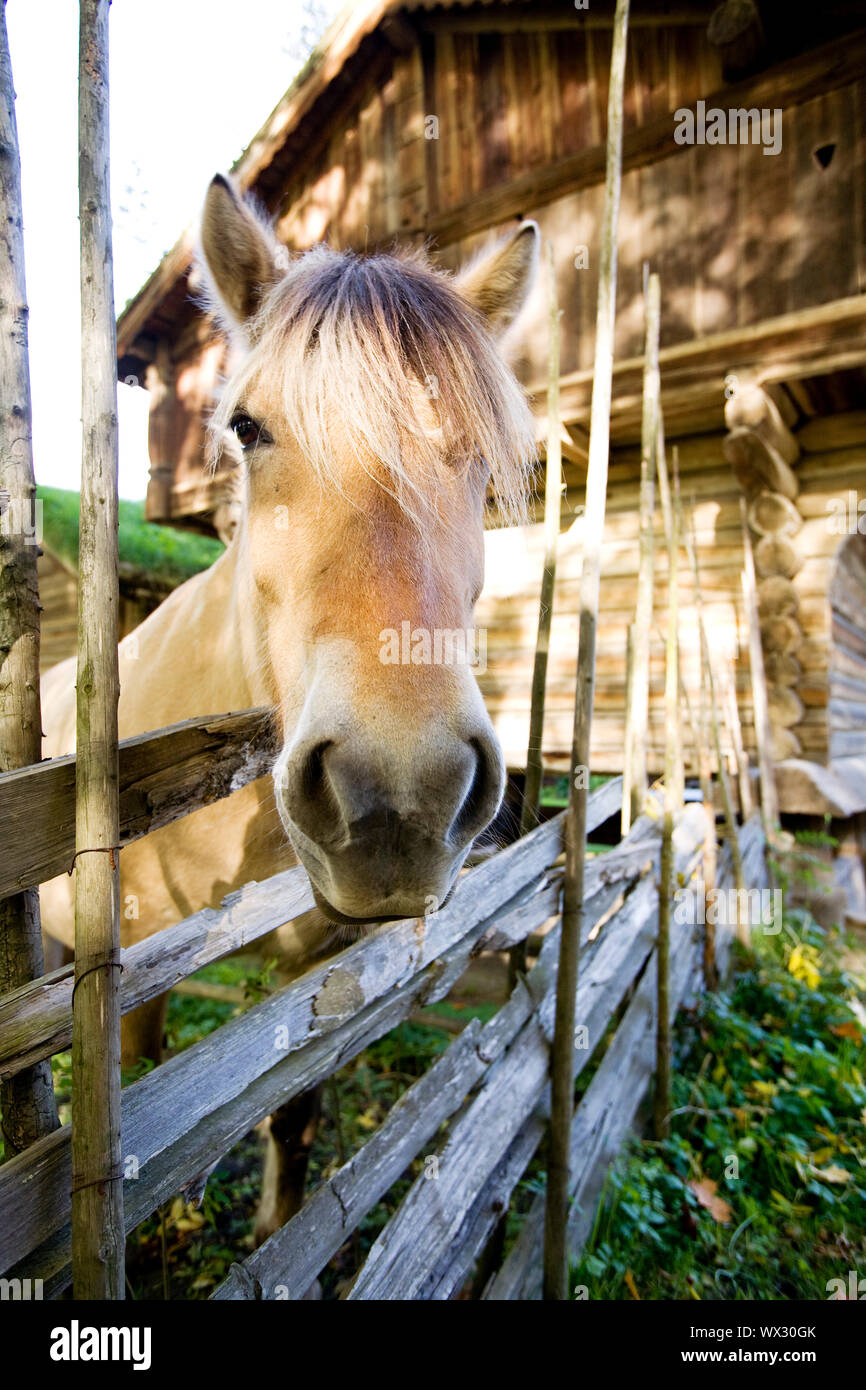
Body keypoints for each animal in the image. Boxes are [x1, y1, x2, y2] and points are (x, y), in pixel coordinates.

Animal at [42, 170, 542, 1239]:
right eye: (246, 427)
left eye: (486, 460)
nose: (401, 795)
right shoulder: (132, 983)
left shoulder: (318, 965)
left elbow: (294, 1113)